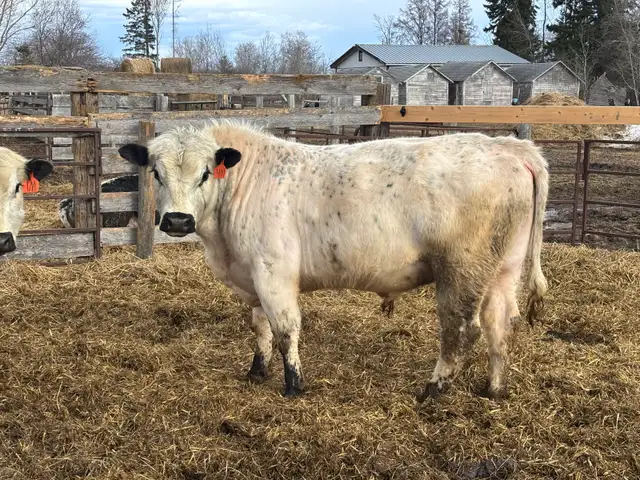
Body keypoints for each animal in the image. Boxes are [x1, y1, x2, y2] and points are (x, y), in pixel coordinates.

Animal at [117, 121, 549, 401]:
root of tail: (510, 147)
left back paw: (432, 391)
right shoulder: (253, 276)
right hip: (502, 268)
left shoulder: (274, 272)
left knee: (461, 330)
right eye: (155, 172)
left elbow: (285, 329)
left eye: (206, 173)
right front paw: (257, 371)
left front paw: (293, 385)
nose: (177, 221)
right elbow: (259, 327)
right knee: (501, 324)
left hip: (461, 269)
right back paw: (494, 389)